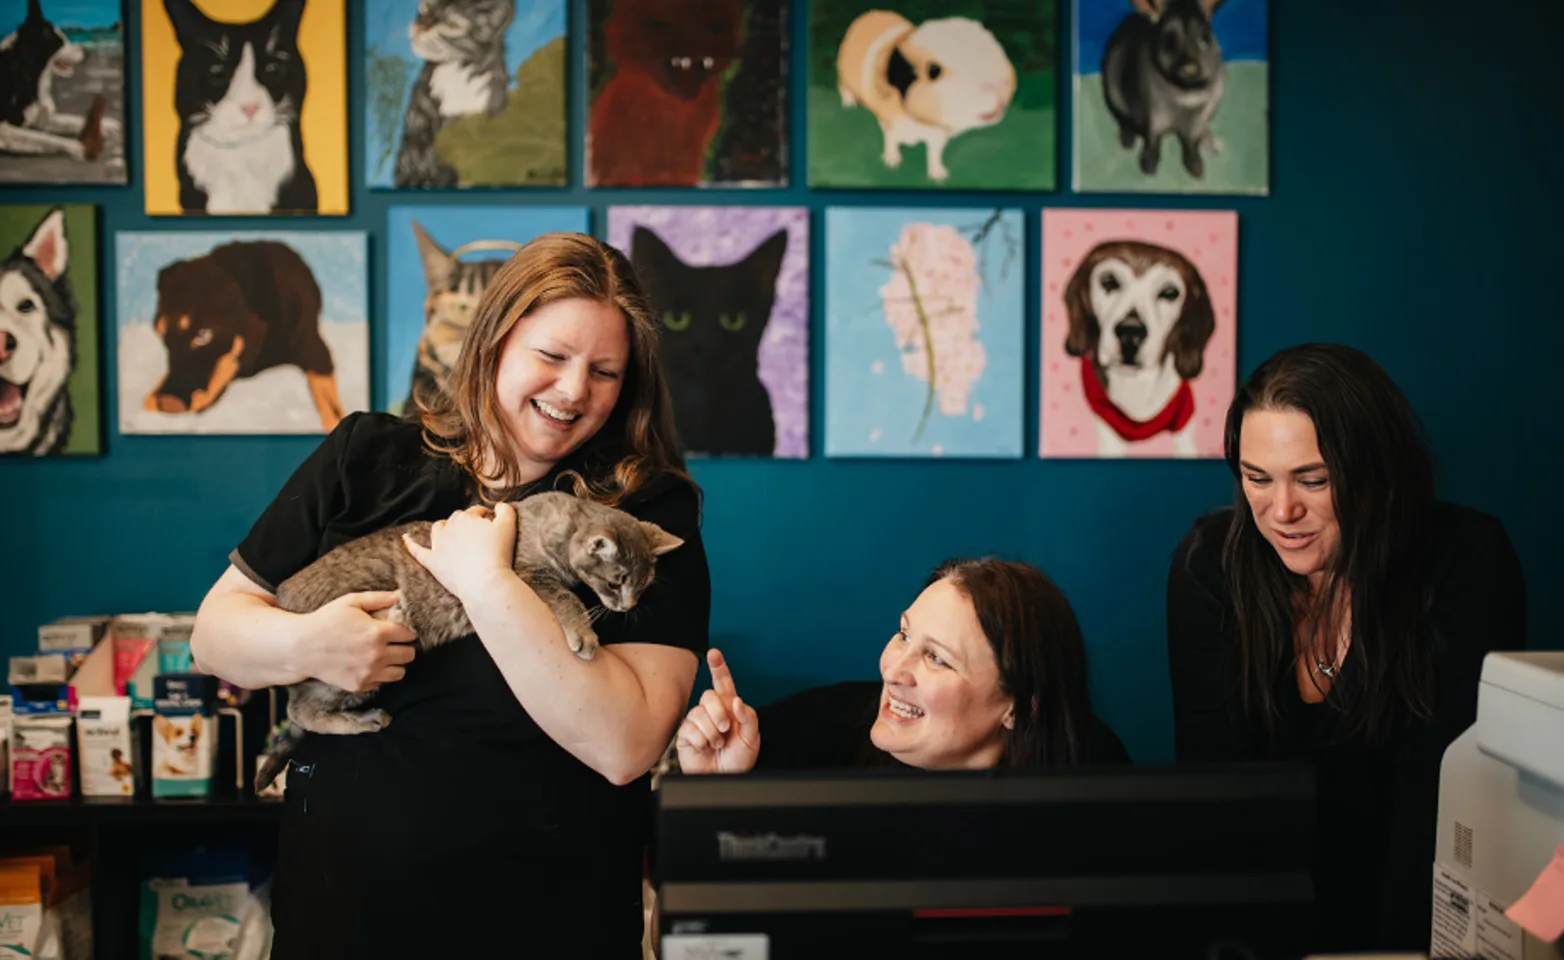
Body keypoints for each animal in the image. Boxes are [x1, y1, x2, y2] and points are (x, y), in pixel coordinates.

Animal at [253, 494, 681, 794]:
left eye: (643, 585)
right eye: (615, 582)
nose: (627, 606)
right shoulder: (530, 576)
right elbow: (567, 599)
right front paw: (584, 634)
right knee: (299, 709)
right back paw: (363, 719)